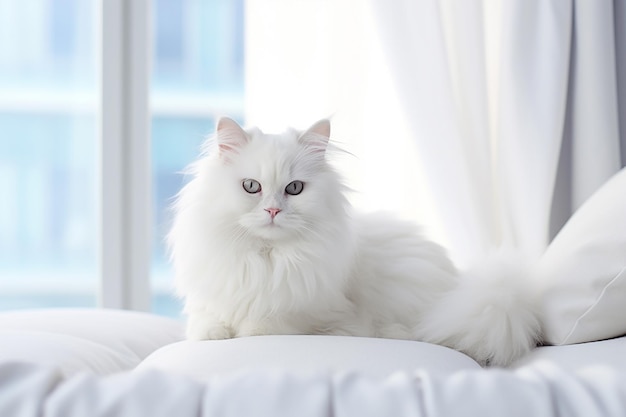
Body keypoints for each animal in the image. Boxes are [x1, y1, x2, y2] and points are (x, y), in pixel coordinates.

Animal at [168, 117, 540, 364]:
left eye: (294, 188)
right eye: (251, 187)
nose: (273, 210)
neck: (268, 258)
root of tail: (463, 283)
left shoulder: (319, 315)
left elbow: (264, 325)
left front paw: (245, 330)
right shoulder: (209, 300)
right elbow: (204, 323)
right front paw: (215, 333)